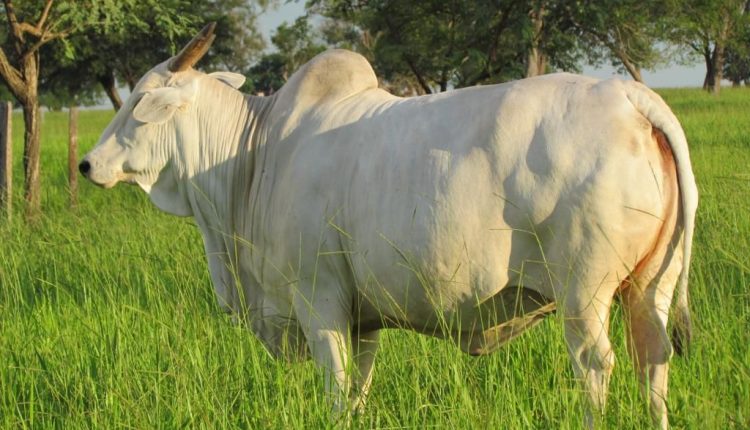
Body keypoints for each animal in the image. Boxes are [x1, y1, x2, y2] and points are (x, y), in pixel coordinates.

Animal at [82, 25, 700, 428]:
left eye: (138, 103)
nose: (88, 164)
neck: (253, 157)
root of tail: (631, 98)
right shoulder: (364, 318)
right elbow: (359, 390)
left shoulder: (319, 301)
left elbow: (336, 390)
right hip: (651, 288)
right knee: (654, 364)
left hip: (582, 294)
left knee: (596, 369)